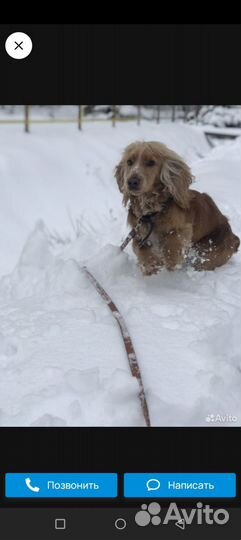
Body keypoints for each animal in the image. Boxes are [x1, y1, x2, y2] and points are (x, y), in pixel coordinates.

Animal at [115, 141, 239, 274]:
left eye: (151, 162)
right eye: (129, 162)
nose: (131, 182)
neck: (152, 211)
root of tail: (234, 238)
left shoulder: (183, 228)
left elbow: (173, 241)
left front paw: (171, 261)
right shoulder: (139, 234)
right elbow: (144, 253)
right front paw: (151, 265)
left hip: (207, 251)